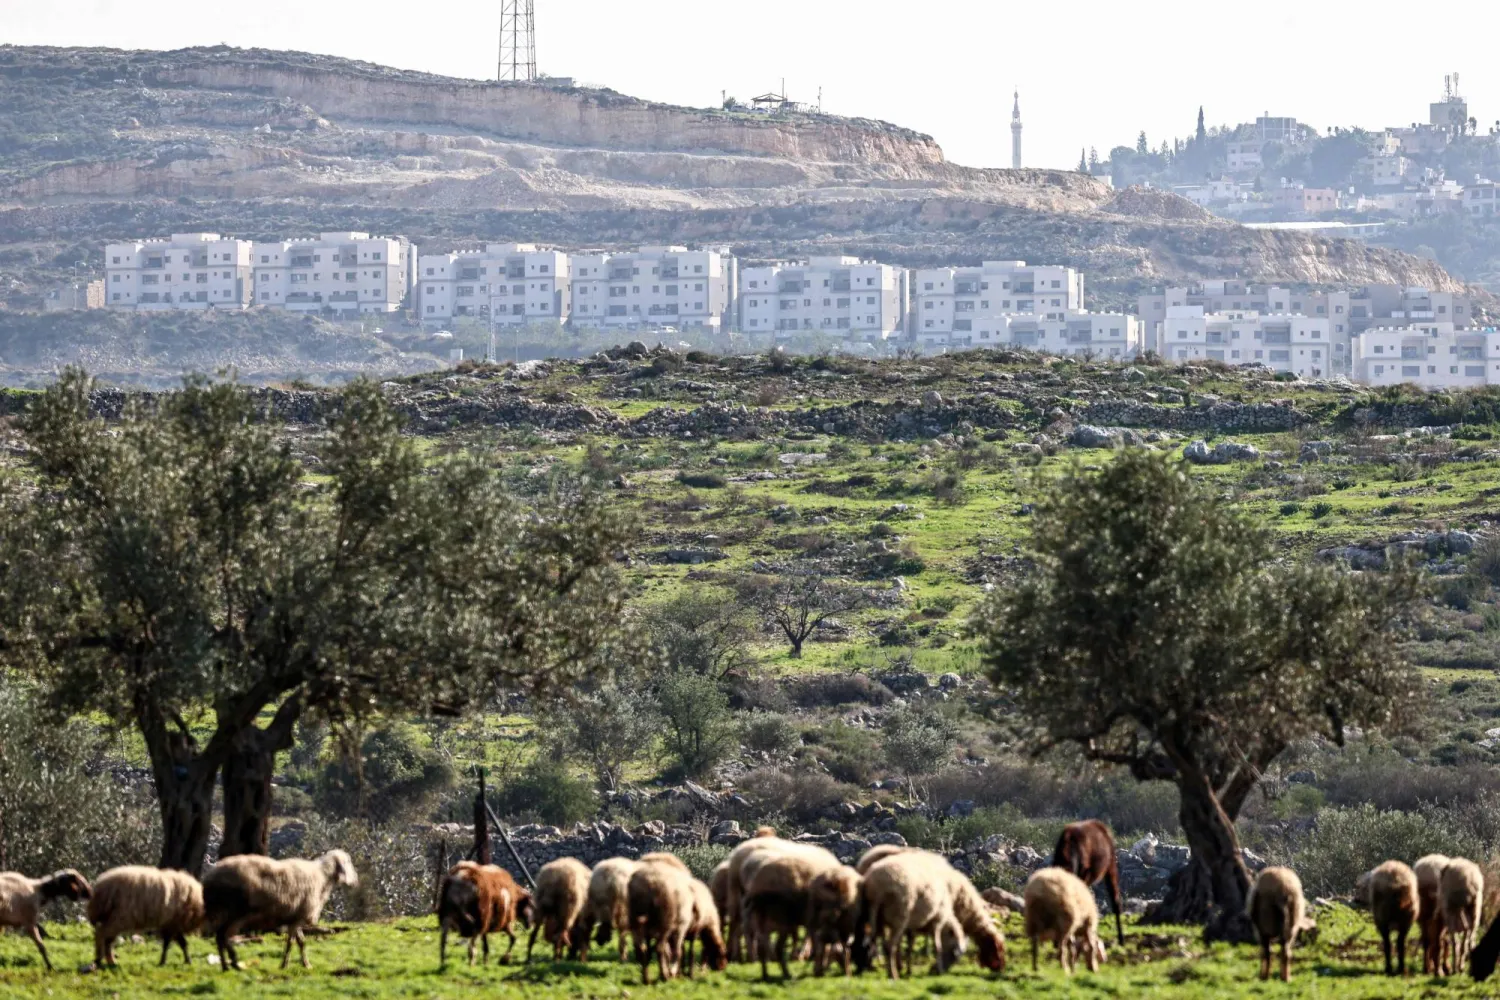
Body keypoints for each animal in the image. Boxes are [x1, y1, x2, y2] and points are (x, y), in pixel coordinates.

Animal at [202, 848, 358, 971]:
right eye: (348, 862)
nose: (355, 881)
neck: (323, 877)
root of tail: (210, 878)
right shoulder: (298, 918)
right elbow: (292, 943)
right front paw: (288, 965)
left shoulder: (295, 917)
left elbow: (300, 942)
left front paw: (302, 964)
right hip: (235, 912)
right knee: (223, 936)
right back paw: (233, 963)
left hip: (227, 912)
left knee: (220, 937)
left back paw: (226, 966)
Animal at [628, 855, 698, 984]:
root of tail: (649, 882)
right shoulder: (681, 926)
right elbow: (677, 951)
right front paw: (673, 972)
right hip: (665, 922)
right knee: (660, 948)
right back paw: (664, 976)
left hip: (636, 920)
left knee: (643, 949)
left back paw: (646, 978)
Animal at [743, 850, 842, 980]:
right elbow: (819, 945)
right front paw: (817, 968)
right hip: (781, 919)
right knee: (777, 947)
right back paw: (785, 973)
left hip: (762, 918)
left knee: (761, 945)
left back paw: (765, 973)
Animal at [860, 850, 967, 980]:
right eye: (954, 953)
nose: (942, 972)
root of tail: (877, 886)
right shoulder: (937, 921)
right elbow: (937, 947)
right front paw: (939, 969)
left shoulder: (912, 926)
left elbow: (909, 948)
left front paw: (908, 970)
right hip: (899, 915)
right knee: (890, 946)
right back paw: (893, 975)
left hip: (877, 916)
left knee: (878, 942)